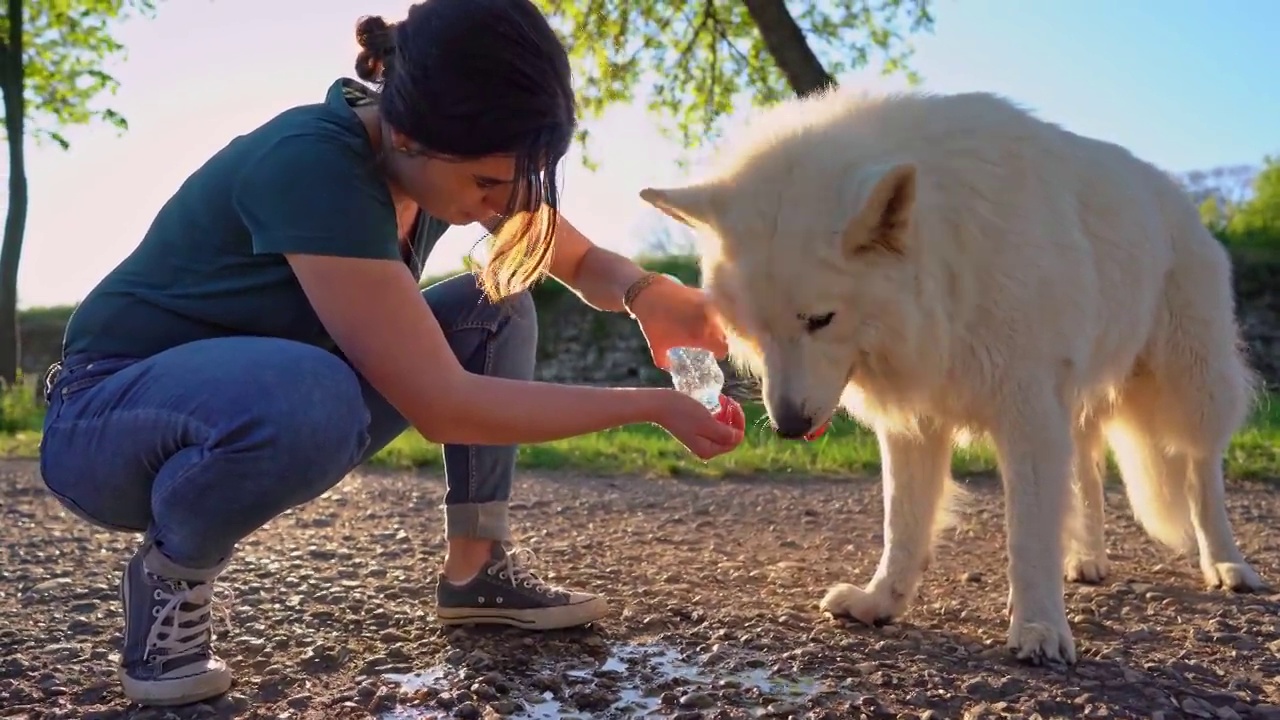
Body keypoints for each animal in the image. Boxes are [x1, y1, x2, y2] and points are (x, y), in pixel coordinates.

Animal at [645, 88, 1264, 661]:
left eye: (821, 320)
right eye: (752, 331)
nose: (789, 427)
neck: (947, 272)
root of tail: (1173, 194)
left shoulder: (1028, 412)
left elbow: (1028, 535)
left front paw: (1039, 628)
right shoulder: (917, 420)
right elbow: (903, 523)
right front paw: (881, 602)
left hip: (1191, 385)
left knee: (1201, 473)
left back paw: (1226, 563)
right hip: (1083, 404)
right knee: (1088, 474)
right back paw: (1087, 559)